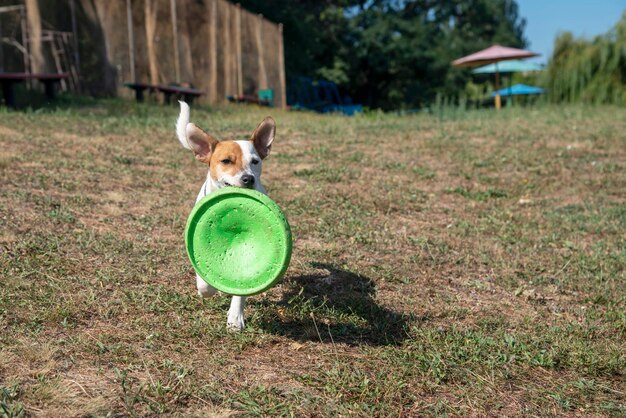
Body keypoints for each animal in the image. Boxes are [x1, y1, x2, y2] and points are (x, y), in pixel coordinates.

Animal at [174, 100, 274, 330]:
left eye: (255, 161)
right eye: (226, 161)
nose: (248, 179)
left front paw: (235, 317)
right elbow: (203, 279)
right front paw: (206, 289)